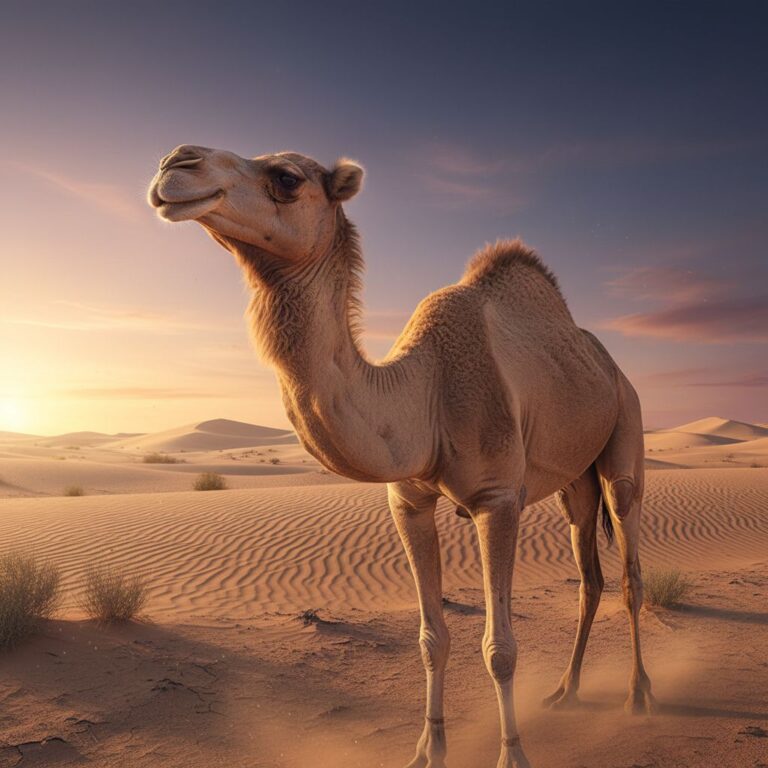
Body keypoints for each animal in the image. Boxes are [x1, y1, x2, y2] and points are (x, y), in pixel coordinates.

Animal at [148, 145, 655, 768]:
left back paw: (638, 694)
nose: (176, 162)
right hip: (573, 481)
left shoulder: (497, 500)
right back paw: (567, 689)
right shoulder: (407, 502)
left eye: (287, 178)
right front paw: (427, 749)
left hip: (624, 434)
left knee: (629, 567)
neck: (427, 393)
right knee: (589, 576)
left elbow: (500, 647)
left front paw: (513, 753)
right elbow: (431, 638)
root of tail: (609, 363)